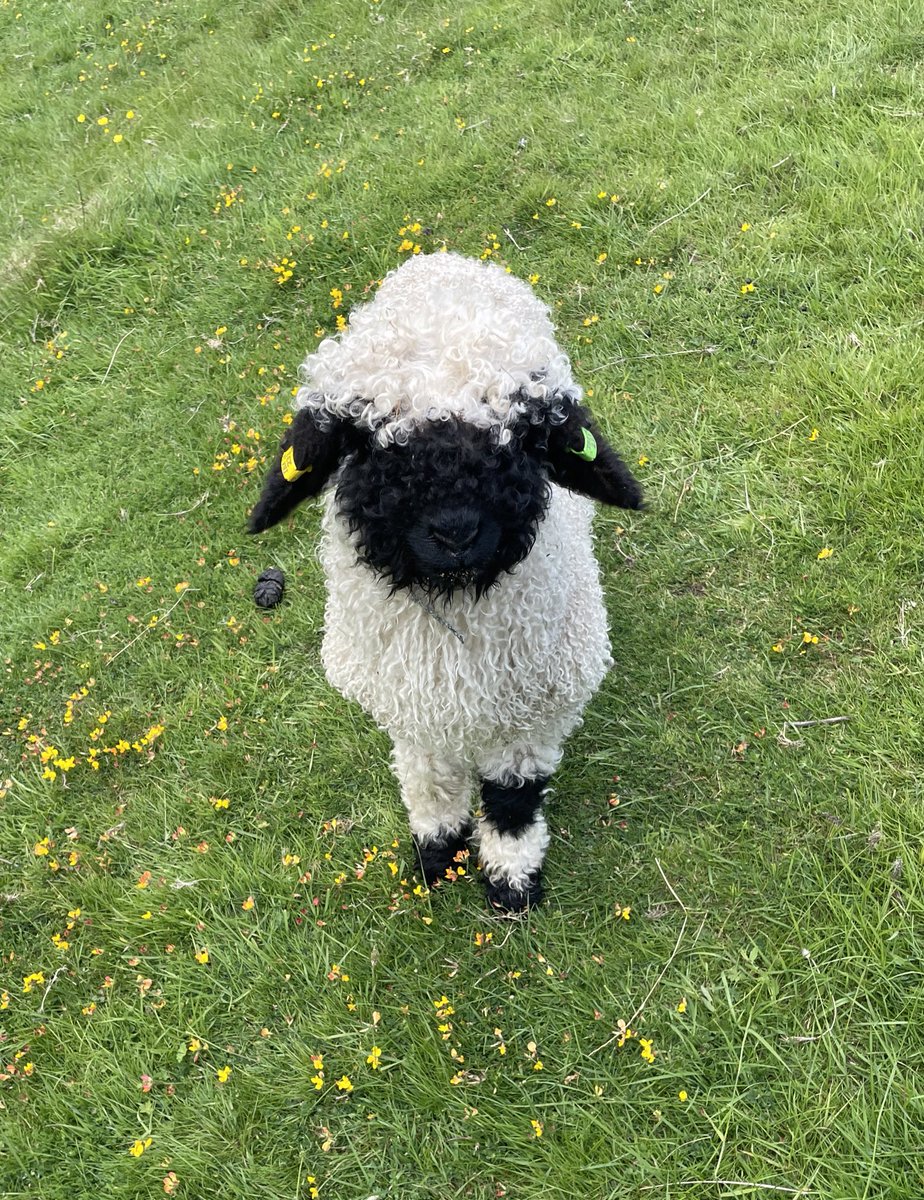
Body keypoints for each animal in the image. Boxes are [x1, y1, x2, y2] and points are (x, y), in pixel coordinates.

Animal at [249, 252, 642, 912]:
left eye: (524, 434)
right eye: (368, 438)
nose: (456, 532)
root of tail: (445, 261)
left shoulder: (539, 706)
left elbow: (513, 796)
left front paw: (511, 879)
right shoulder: (407, 707)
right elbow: (428, 783)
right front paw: (438, 853)